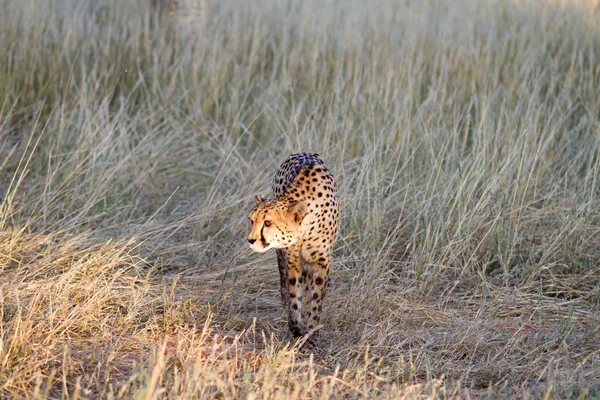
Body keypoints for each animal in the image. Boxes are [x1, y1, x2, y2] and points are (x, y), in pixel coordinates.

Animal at [246, 152, 340, 348]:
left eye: (268, 222)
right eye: (251, 220)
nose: (250, 240)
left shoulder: (321, 263)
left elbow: (316, 300)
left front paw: (311, 335)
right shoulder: (293, 261)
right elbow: (294, 295)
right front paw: (296, 327)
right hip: (282, 257)